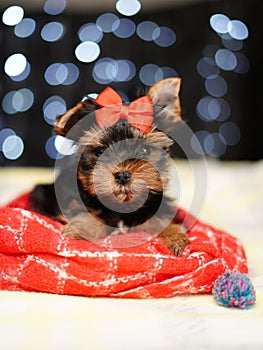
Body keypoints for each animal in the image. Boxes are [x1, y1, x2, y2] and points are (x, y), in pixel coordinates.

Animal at [29, 78, 190, 256]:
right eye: (100, 151)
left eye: (145, 150)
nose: (122, 175)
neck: (121, 206)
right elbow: (85, 216)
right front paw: (80, 232)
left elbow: (159, 219)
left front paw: (173, 235)